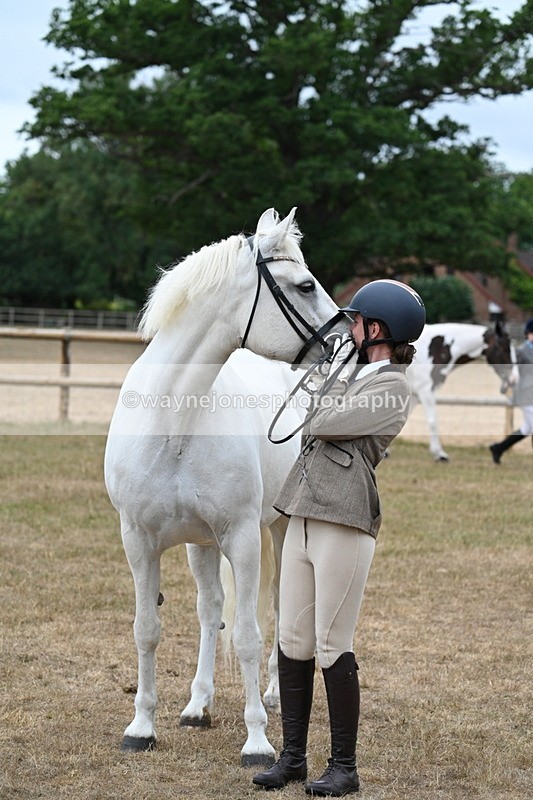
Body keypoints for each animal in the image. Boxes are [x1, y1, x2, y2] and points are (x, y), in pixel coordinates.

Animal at [103, 207, 349, 767]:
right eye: (305, 285)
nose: (346, 341)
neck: (174, 422)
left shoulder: (241, 537)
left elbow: (248, 635)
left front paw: (257, 741)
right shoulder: (139, 543)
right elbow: (148, 630)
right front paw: (141, 728)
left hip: (277, 531)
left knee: (278, 609)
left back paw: (275, 696)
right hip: (200, 543)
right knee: (210, 609)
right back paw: (198, 704)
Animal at [407, 322, 515, 461]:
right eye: (505, 349)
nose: (514, 378)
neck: (439, 347)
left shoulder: (415, 394)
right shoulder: (426, 391)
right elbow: (433, 421)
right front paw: (440, 454)